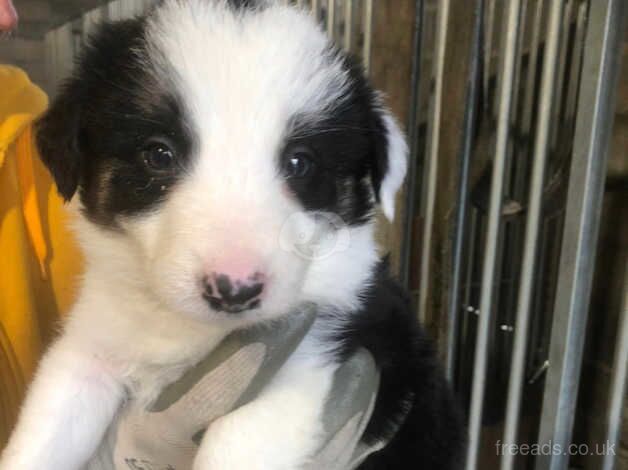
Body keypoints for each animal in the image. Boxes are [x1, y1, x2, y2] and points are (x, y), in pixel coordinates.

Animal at [1, 1, 466, 468]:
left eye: (300, 162)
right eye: (158, 154)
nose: (234, 290)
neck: (186, 328)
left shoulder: (301, 365)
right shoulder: (88, 352)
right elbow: (42, 439)